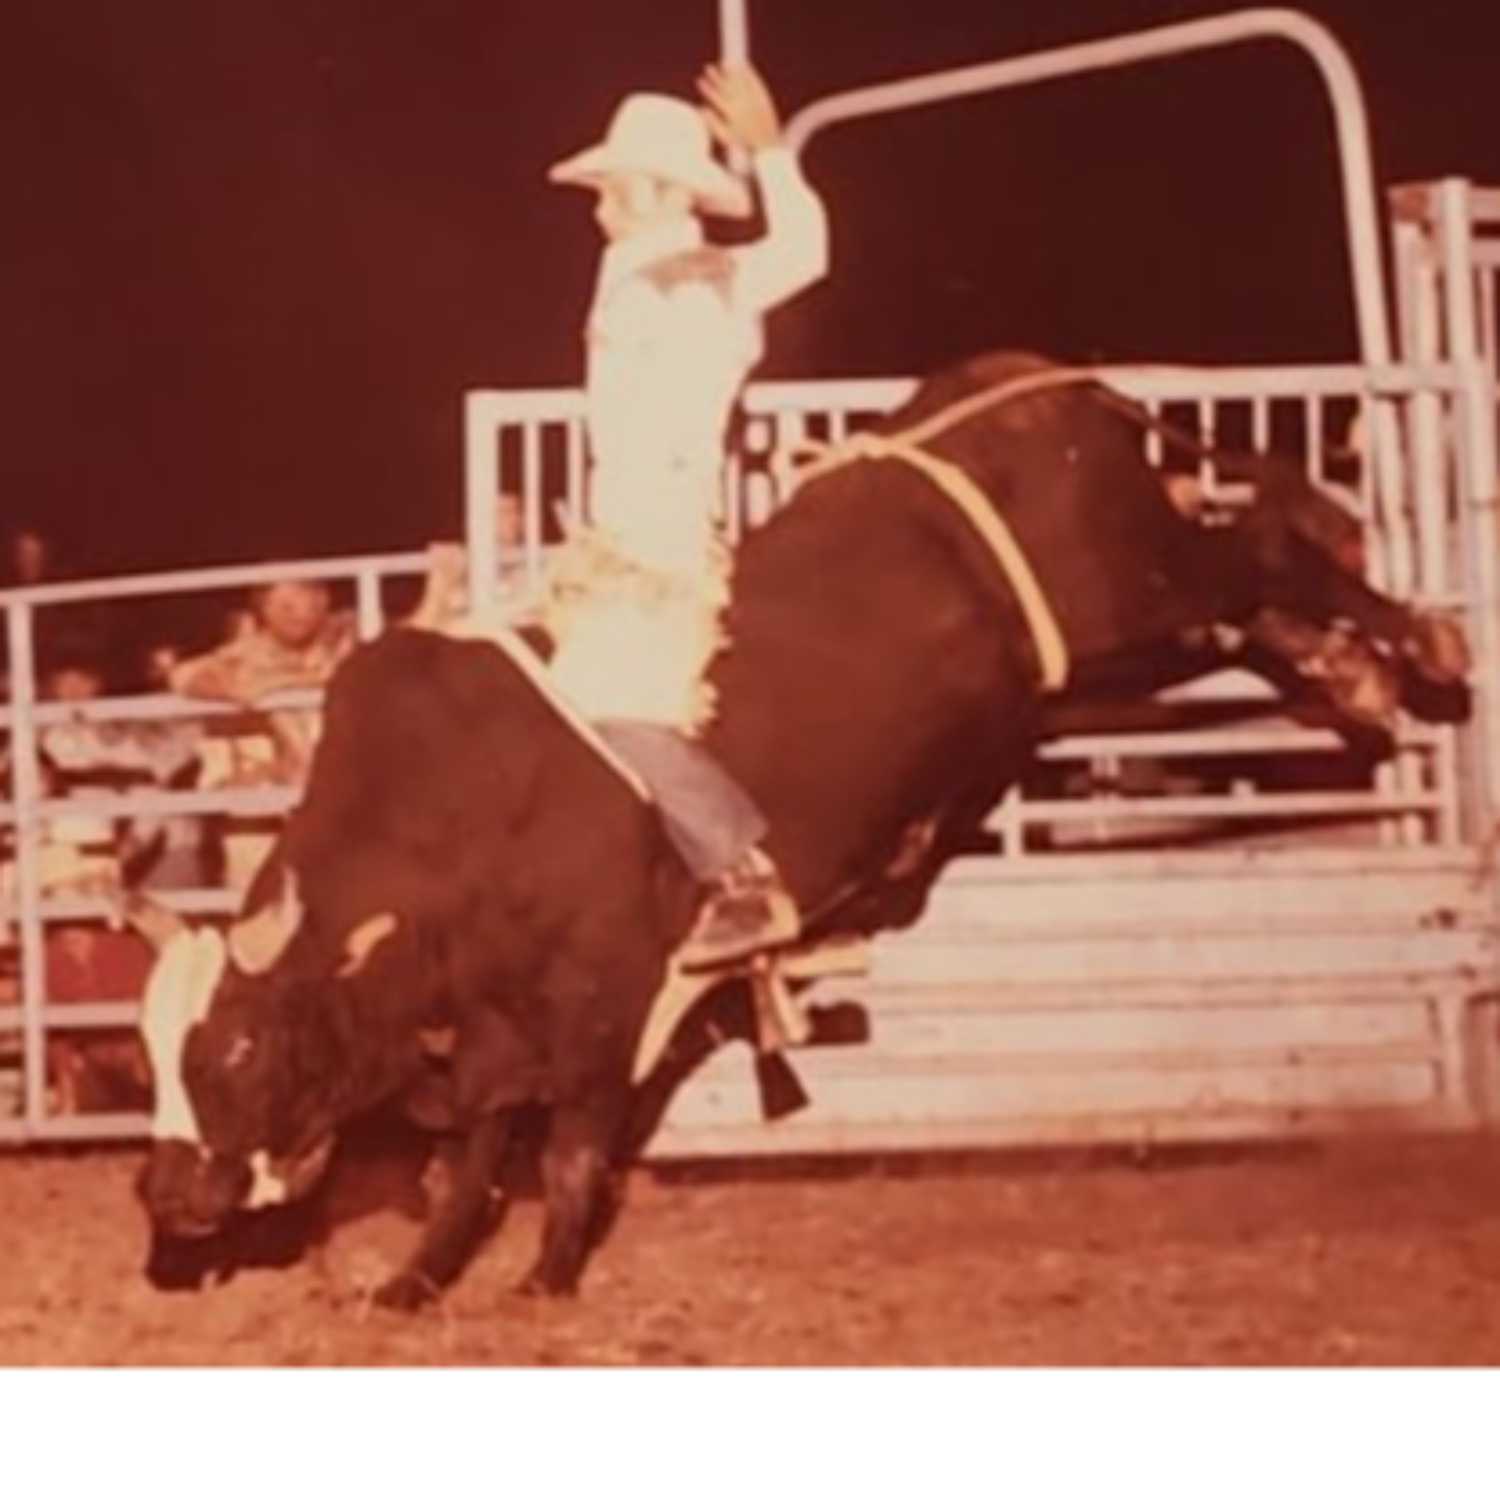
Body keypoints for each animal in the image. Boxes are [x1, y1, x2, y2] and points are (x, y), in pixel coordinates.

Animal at [123, 351, 1470, 1302]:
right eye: (148, 1051)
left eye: (235, 1048)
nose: (166, 1190)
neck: (449, 830)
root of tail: (1028, 382)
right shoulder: (501, 1030)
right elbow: (476, 1162)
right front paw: (413, 1281)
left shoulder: (606, 1000)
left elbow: (567, 1149)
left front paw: (546, 1281)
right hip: (1103, 648)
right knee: (1252, 600)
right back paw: (1356, 678)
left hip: (1132, 579)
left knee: (1263, 549)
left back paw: (1425, 646)